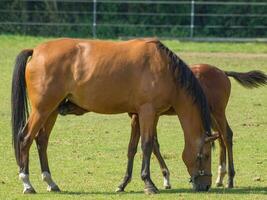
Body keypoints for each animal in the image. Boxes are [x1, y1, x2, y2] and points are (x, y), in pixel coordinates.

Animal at [11, 38, 219, 194]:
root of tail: (36, 51)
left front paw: (123, 184)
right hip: (42, 110)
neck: (164, 68)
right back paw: (27, 183)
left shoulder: (139, 115)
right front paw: (149, 184)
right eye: (206, 155)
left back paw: (50, 182)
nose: (206, 185)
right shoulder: (148, 112)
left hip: (51, 110)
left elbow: (132, 148)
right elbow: (147, 145)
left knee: (41, 141)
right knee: (25, 138)